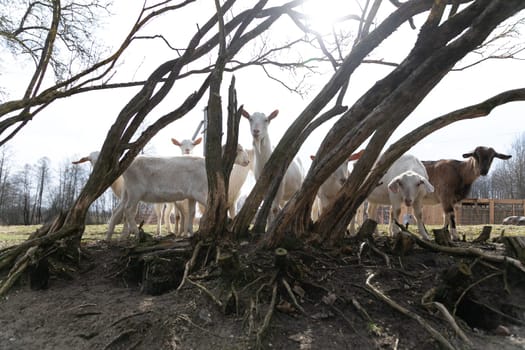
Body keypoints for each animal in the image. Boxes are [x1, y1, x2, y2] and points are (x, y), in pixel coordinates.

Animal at [106, 144, 250, 239]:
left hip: (127, 192)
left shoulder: (192, 196)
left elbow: (191, 213)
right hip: (135, 192)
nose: (248, 161)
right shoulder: (200, 193)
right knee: (129, 210)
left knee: (117, 211)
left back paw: (110, 238)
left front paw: (190, 233)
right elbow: (211, 208)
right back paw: (137, 234)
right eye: (240, 149)